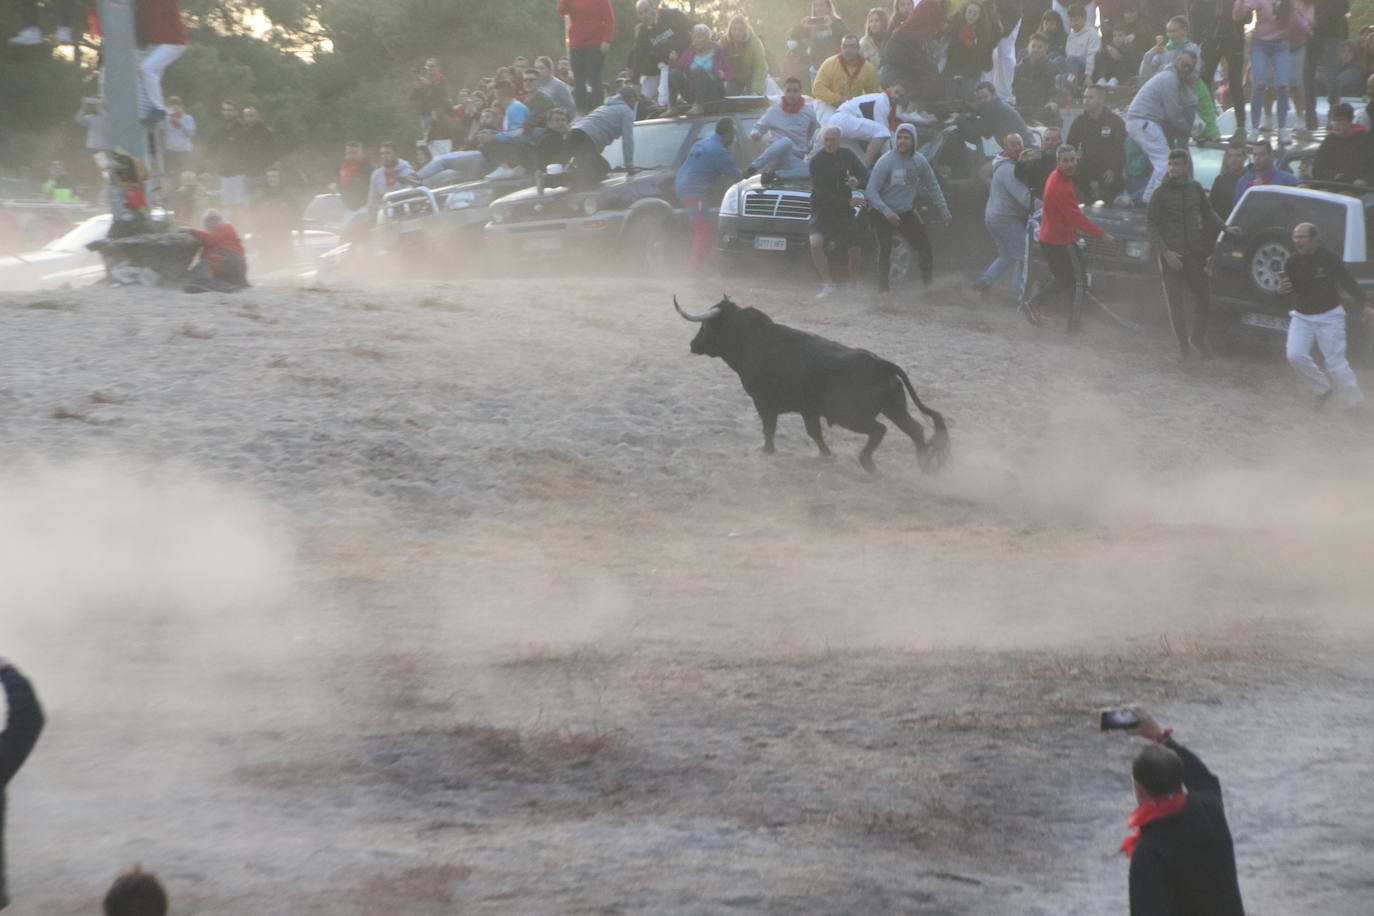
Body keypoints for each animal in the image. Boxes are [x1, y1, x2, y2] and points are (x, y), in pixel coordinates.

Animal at [670, 295, 950, 472]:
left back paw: (868, 464)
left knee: (880, 430)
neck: (753, 339)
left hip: (850, 415)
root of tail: (882, 364)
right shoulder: (808, 409)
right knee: (915, 429)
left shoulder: (763, 402)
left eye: (705, 326)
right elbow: (814, 433)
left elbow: (769, 428)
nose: (693, 345)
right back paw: (924, 467)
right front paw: (826, 454)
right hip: (894, 408)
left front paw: (767, 450)